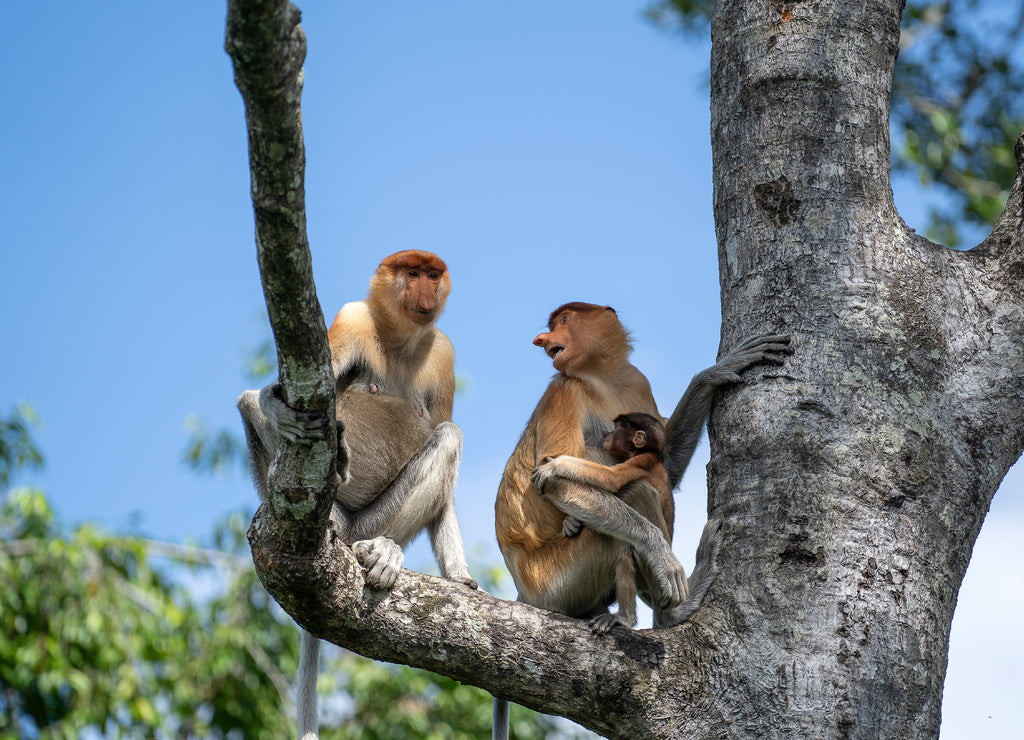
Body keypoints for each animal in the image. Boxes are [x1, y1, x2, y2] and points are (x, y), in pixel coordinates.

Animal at [237, 250, 477, 740]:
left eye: (432, 275)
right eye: (411, 273)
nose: (425, 292)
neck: (399, 339)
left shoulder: (443, 353)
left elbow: (442, 428)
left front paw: (460, 577)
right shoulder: (353, 319)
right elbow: (276, 395)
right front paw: (277, 405)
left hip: (374, 518)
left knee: (447, 434)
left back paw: (382, 551)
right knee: (247, 402)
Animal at [491, 302, 790, 740]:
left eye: (564, 320)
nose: (542, 340)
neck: (602, 377)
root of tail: (526, 588)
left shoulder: (637, 382)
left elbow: (666, 461)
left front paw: (715, 372)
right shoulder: (563, 391)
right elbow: (557, 481)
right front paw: (663, 557)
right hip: (558, 579)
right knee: (632, 501)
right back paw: (663, 612)